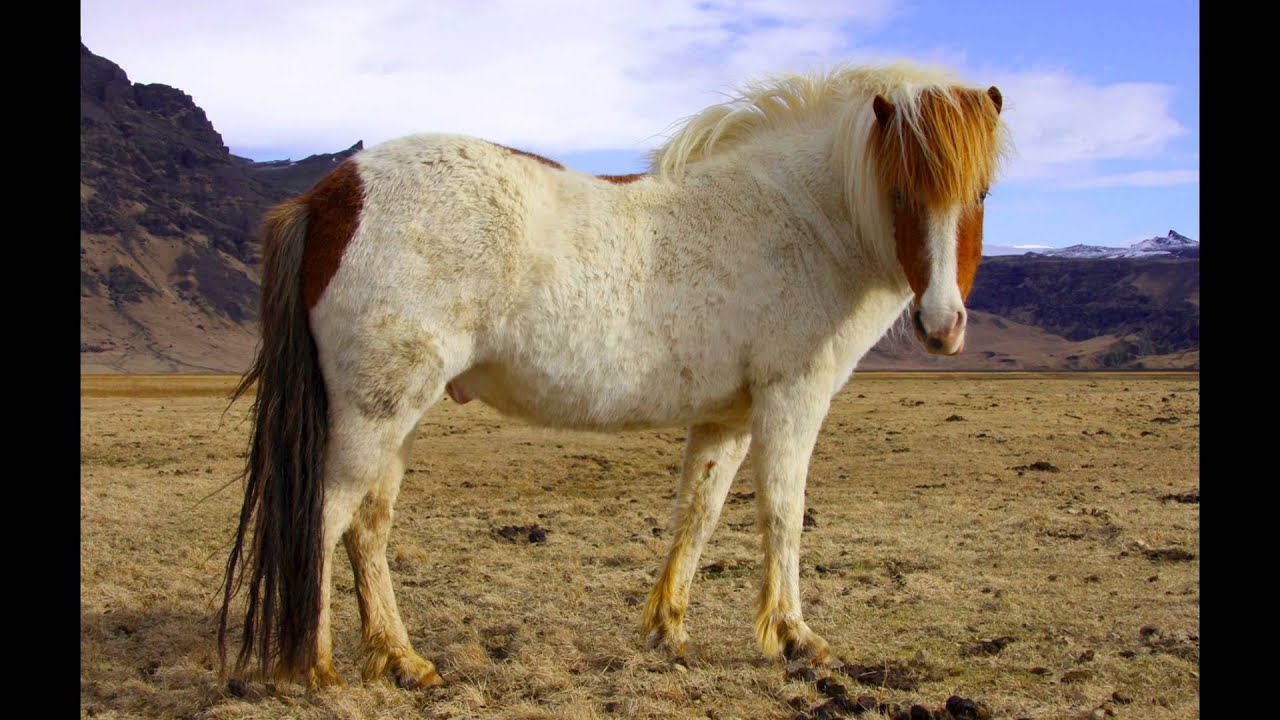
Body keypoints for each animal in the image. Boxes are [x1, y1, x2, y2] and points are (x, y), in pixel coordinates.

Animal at [217, 61, 1009, 690]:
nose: (944, 326)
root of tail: (328, 196)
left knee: (369, 528)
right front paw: (794, 638)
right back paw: (315, 668)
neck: (802, 219)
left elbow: (698, 512)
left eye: (981, 195)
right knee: (325, 519)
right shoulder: (792, 398)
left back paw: (402, 660)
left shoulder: (726, 415)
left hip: (397, 414)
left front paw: (669, 631)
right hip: (374, 411)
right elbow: (782, 513)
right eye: (900, 194)